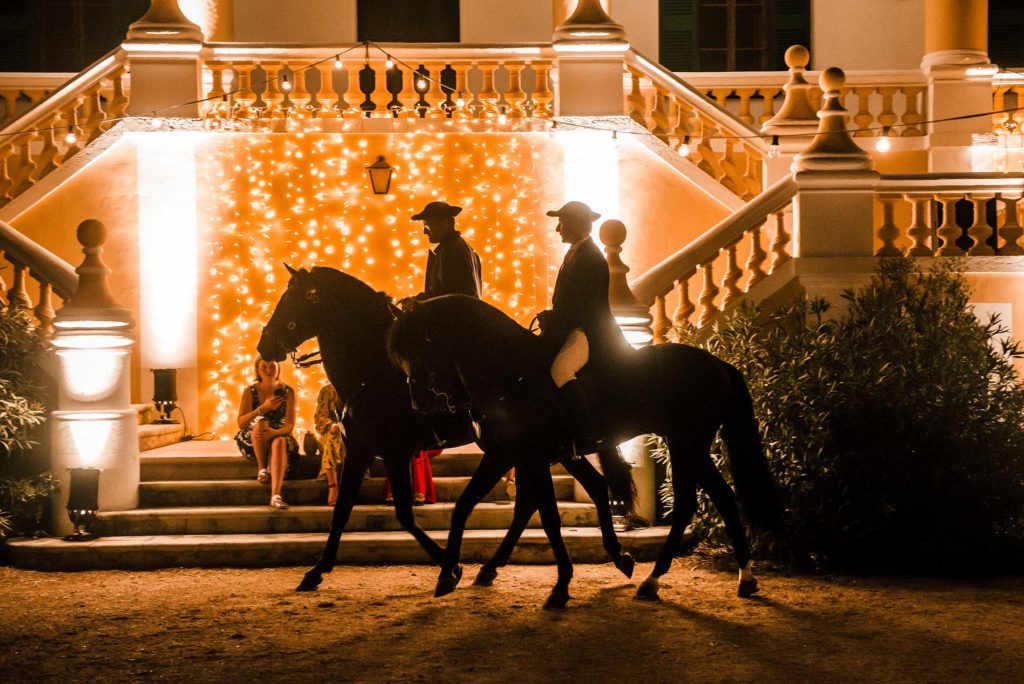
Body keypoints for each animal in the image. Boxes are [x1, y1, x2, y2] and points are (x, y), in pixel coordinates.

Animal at [254, 264, 634, 593]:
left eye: (298, 298)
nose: (264, 345)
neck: (373, 370)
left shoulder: (392, 452)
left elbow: (403, 514)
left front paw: (450, 565)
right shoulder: (360, 450)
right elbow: (342, 511)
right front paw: (317, 571)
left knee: (551, 496)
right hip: (547, 449)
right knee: (583, 488)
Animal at [385, 294, 782, 597]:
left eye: (422, 342)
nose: (420, 403)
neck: (509, 372)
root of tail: (718, 363)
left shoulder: (525, 456)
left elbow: (546, 516)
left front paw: (561, 583)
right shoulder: (515, 455)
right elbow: (475, 506)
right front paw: (455, 573)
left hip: (686, 443)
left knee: (687, 504)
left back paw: (654, 581)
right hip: (692, 446)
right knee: (723, 497)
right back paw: (744, 579)